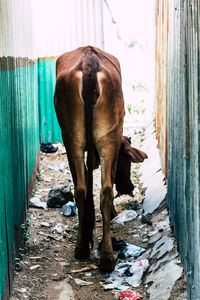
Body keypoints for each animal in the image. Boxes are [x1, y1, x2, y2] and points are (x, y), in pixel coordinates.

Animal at [54, 46, 147, 272]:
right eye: (126, 161)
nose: (129, 187)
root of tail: (89, 59)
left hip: (71, 136)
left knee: (81, 189)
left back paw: (82, 248)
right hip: (109, 135)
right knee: (105, 190)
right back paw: (107, 256)